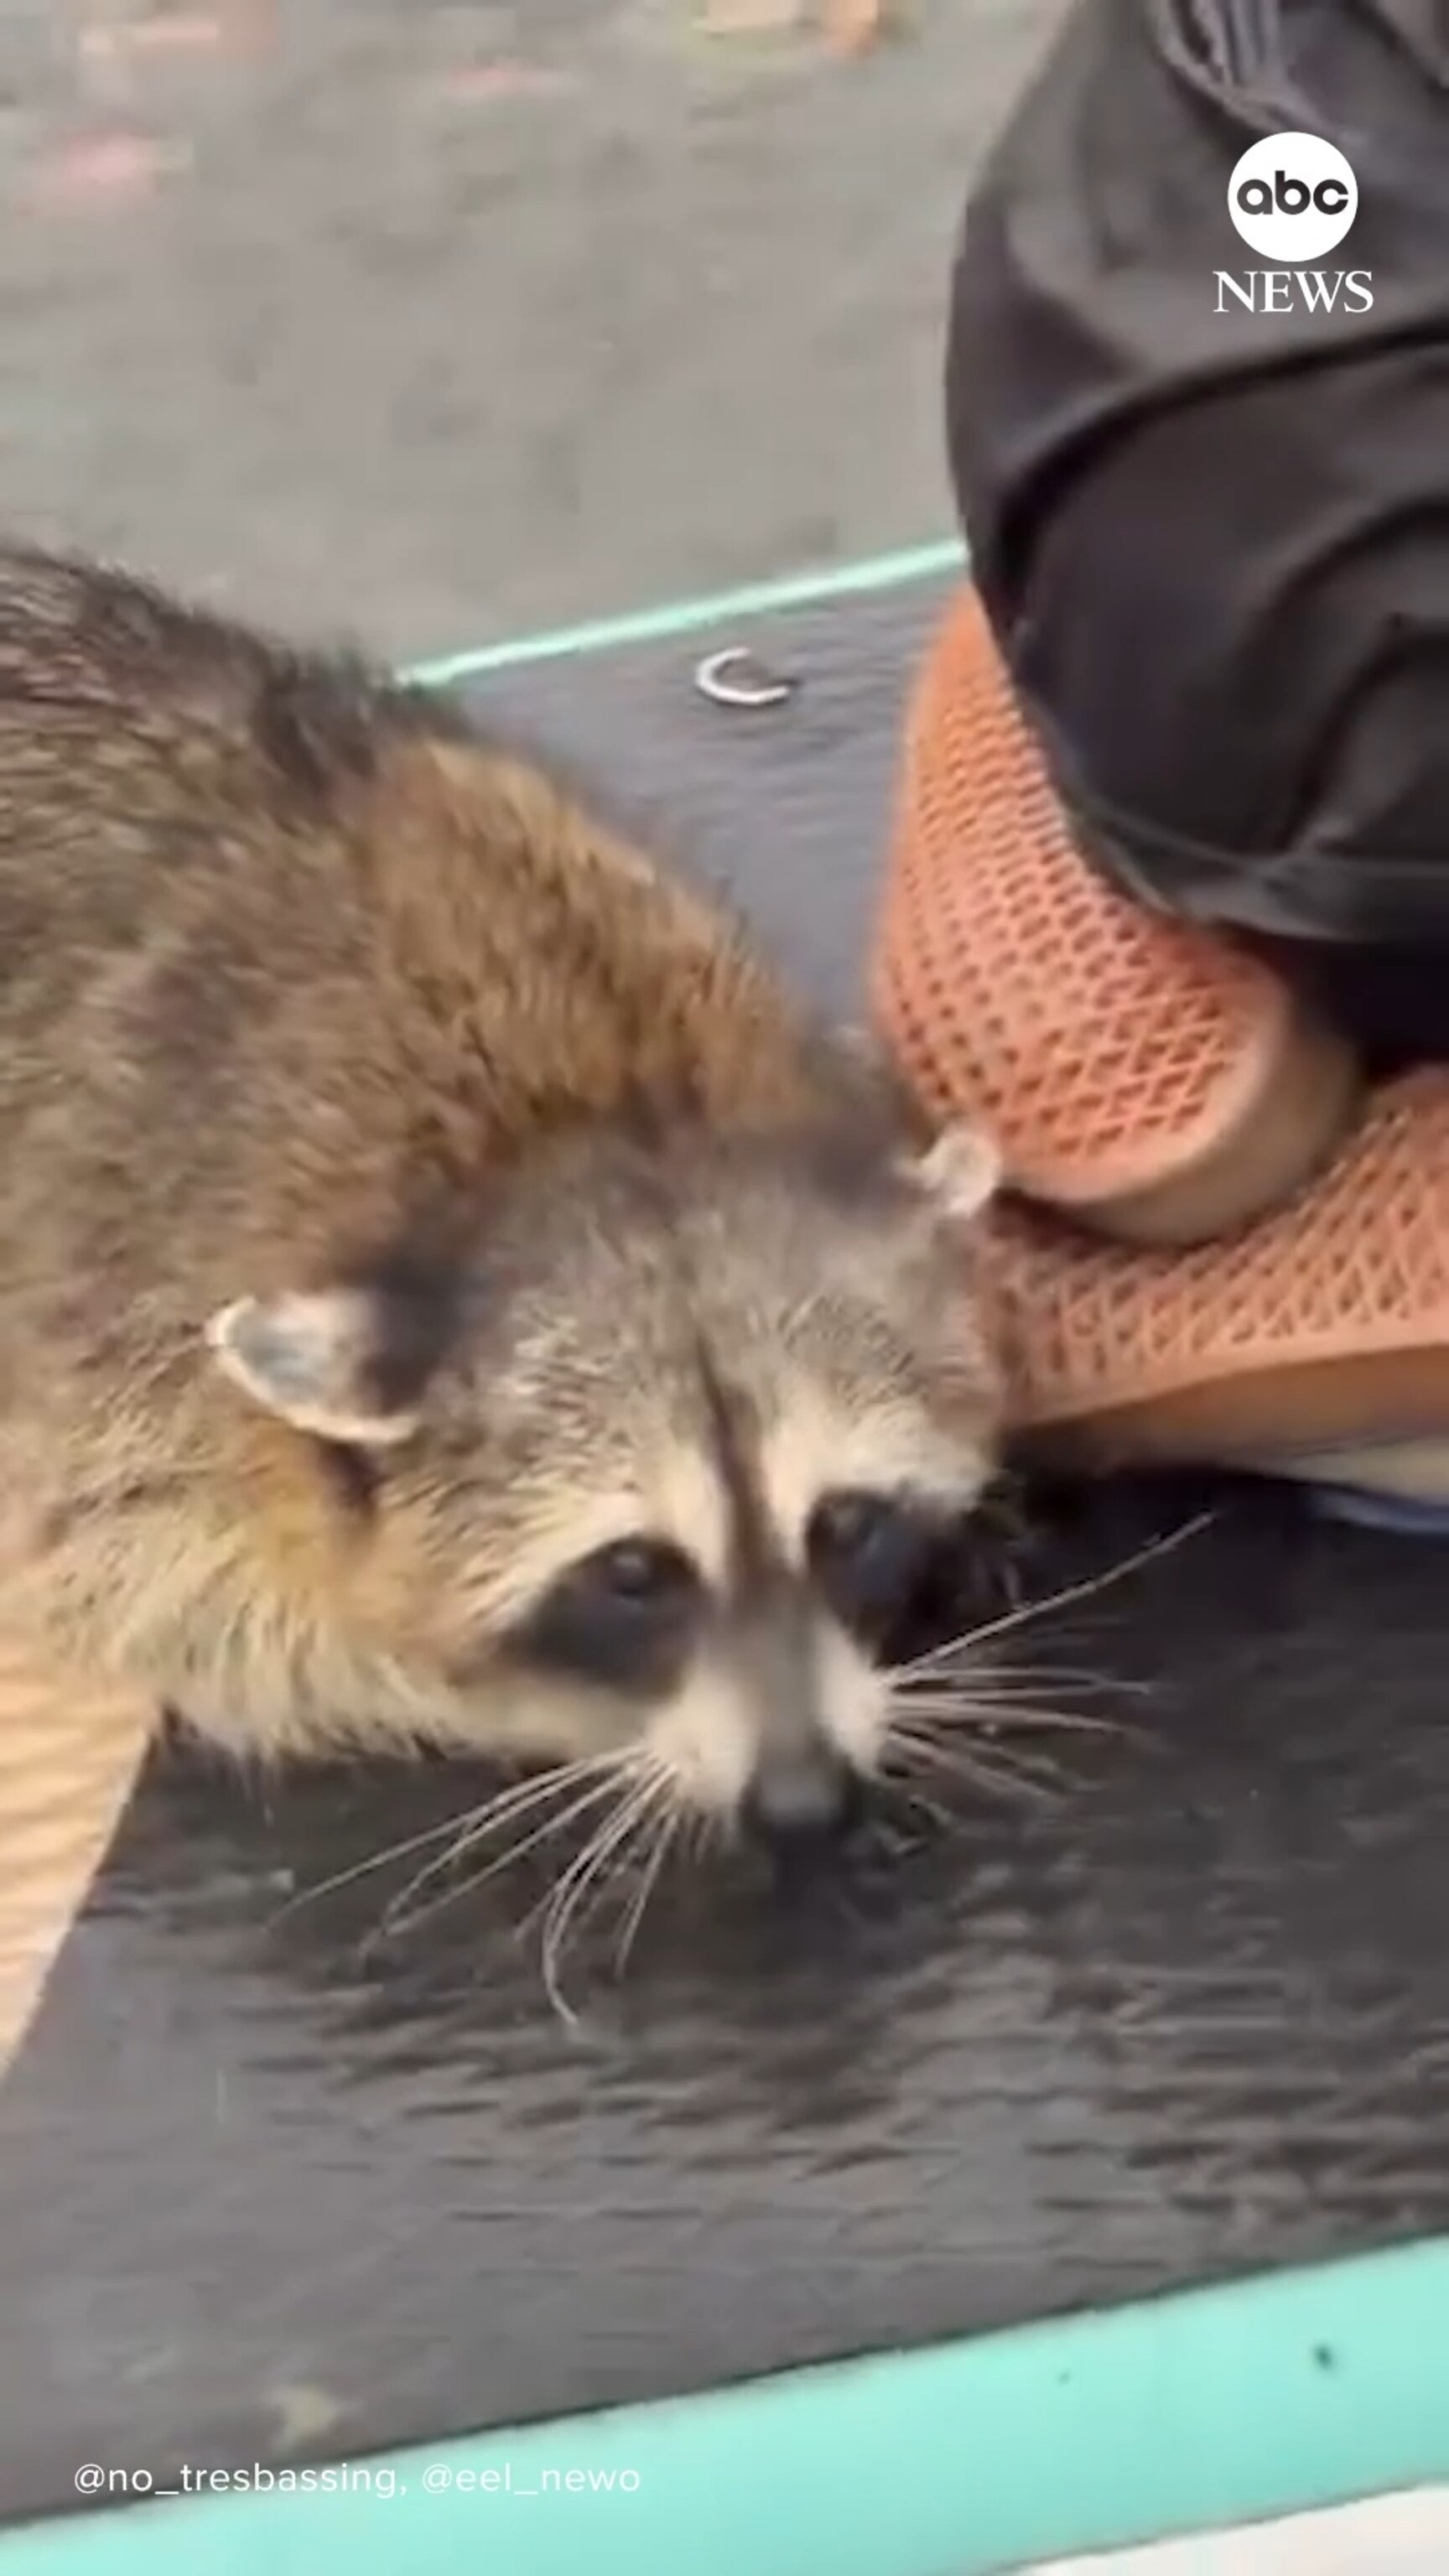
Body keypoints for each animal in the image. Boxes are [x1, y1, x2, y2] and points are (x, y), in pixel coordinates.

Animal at [0, 544, 1003, 1846]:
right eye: (632, 1573)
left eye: (845, 1524)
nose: (804, 1804)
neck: (587, 1120)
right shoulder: (108, 1345)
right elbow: (176, 1595)